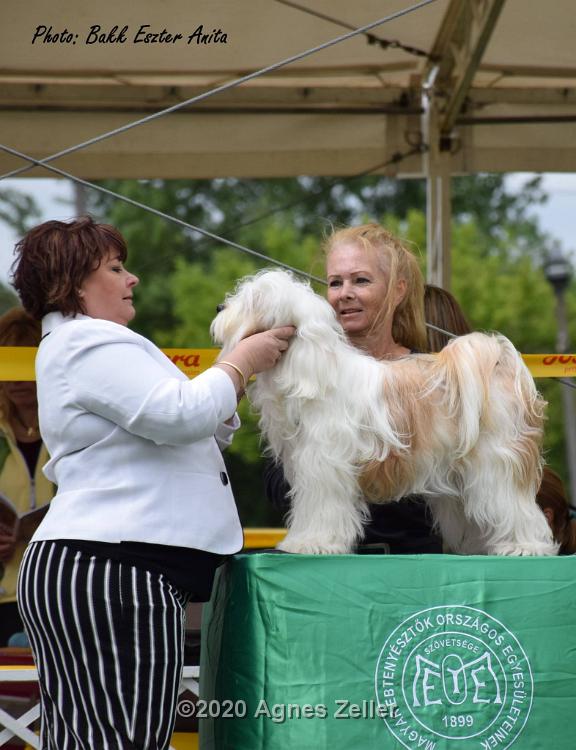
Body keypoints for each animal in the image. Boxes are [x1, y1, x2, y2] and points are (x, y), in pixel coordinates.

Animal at [212, 270, 560, 560]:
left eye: (254, 300)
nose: (218, 307)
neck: (311, 368)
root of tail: (499, 361)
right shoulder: (305, 465)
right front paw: (300, 541)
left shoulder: (324, 466)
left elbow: (322, 507)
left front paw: (315, 544)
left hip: (496, 462)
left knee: (516, 506)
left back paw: (525, 546)